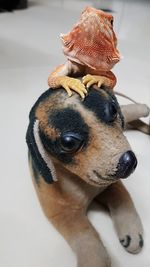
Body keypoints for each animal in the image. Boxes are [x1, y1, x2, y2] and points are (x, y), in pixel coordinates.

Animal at [26, 87, 149, 266]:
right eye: (68, 143)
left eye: (113, 110)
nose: (129, 162)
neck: (82, 182)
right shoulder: (63, 213)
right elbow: (86, 236)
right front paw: (94, 258)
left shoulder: (112, 184)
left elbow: (123, 197)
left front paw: (131, 231)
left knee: (128, 111)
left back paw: (143, 108)